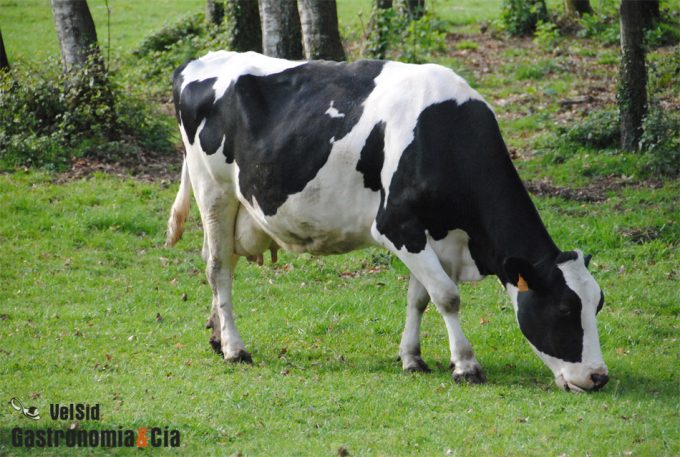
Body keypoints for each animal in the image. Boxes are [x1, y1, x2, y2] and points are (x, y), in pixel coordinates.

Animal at [166, 51, 609, 392]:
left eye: (598, 304)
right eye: (565, 309)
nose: (598, 376)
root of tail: (196, 62)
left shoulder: (434, 235)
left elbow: (421, 298)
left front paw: (412, 358)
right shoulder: (396, 224)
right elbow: (448, 296)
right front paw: (466, 365)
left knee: (217, 261)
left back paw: (216, 335)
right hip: (214, 191)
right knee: (218, 268)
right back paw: (235, 348)